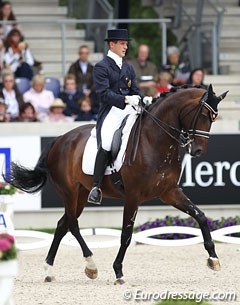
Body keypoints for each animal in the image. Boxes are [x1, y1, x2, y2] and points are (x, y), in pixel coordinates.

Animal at [4, 83, 228, 282]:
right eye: (203, 115)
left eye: (214, 118)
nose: (198, 151)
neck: (154, 140)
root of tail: (59, 139)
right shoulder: (133, 196)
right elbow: (126, 234)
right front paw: (118, 272)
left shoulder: (169, 192)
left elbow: (200, 215)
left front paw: (213, 258)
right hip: (68, 192)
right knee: (73, 225)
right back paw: (91, 266)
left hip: (81, 194)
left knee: (62, 225)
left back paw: (49, 270)